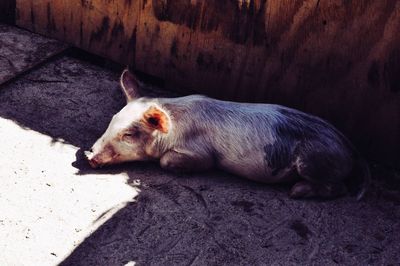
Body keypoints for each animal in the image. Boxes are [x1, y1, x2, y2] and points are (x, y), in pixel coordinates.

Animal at [85, 69, 372, 198]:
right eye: (112, 120)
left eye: (129, 135)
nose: (89, 156)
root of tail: (352, 150)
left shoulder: (202, 154)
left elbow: (170, 161)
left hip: (314, 160)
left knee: (340, 187)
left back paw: (296, 191)